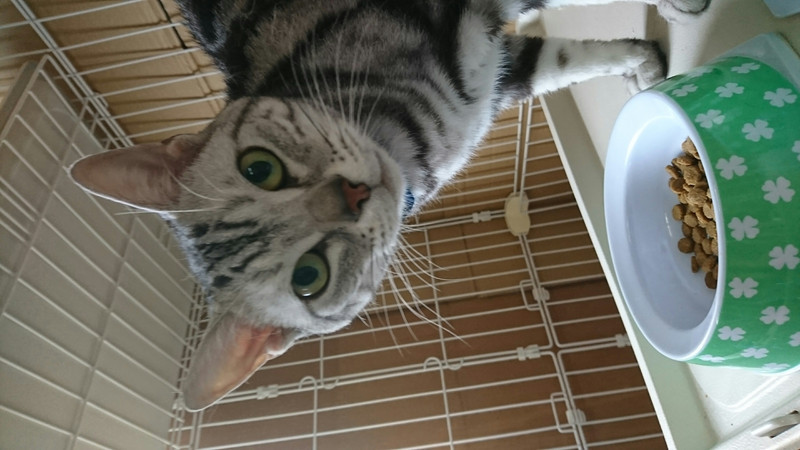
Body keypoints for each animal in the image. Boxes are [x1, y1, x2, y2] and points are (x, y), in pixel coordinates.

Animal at [70, 0, 709, 410]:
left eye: (260, 168)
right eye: (309, 277)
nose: (353, 196)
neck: (420, 138)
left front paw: (659, 39)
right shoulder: (491, 68)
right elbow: (564, 60)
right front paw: (648, 56)